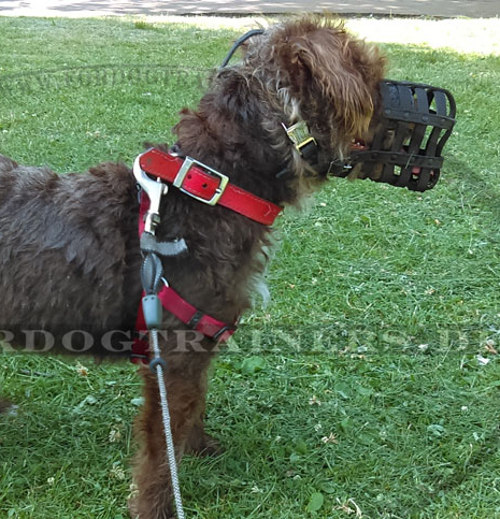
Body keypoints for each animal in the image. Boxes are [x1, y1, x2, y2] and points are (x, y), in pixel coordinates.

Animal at [0, 17, 386, 519]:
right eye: (375, 74)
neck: (215, 192)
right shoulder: (174, 355)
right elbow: (162, 445)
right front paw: (155, 504)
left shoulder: (200, 344)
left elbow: (193, 408)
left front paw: (200, 448)